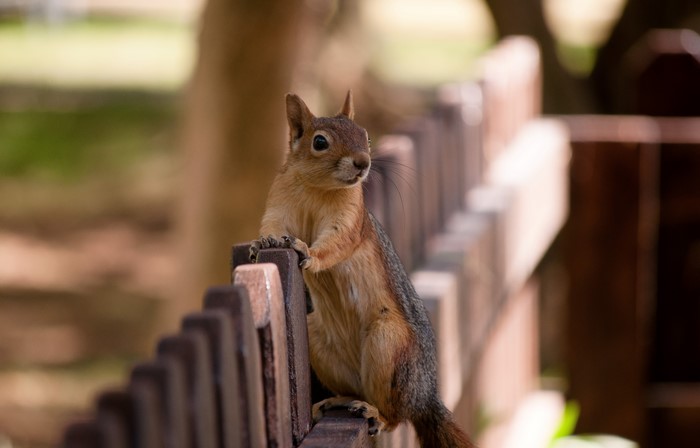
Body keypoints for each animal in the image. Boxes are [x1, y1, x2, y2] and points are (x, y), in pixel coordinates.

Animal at [250, 91, 474, 448]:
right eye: (320, 142)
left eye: (366, 136)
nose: (362, 163)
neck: (317, 188)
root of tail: (424, 396)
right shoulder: (279, 204)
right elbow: (272, 225)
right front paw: (263, 243)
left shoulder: (350, 218)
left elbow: (337, 242)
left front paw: (307, 251)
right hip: (321, 343)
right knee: (356, 388)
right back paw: (337, 401)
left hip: (388, 346)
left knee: (396, 416)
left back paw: (376, 414)